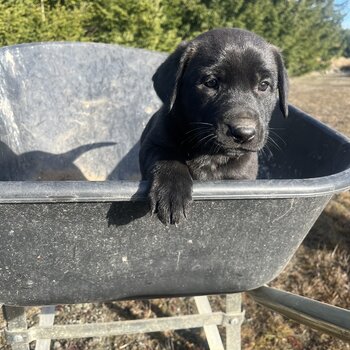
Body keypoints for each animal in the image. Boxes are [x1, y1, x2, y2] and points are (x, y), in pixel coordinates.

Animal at [139, 27, 288, 224]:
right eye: (211, 83)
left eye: (264, 85)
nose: (244, 133)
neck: (209, 153)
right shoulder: (153, 143)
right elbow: (166, 157)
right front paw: (171, 191)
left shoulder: (243, 171)